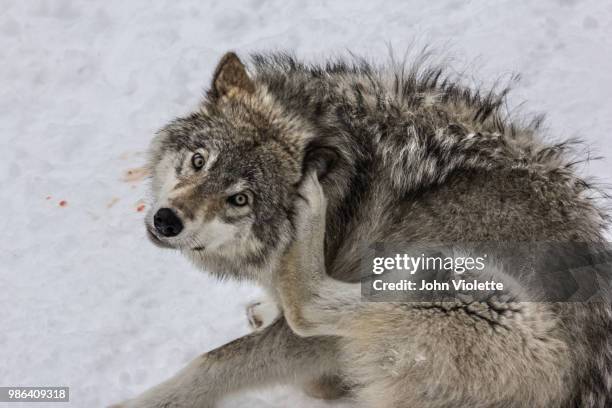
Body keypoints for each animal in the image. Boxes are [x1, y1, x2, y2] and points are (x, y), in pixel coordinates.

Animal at [112, 51, 608, 408]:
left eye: (240, 199)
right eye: (199, 161)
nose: (167, 220)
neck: (351, 179)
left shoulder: (317, 345)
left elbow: (213, 363)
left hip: (455, 282)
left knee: (311, 306)